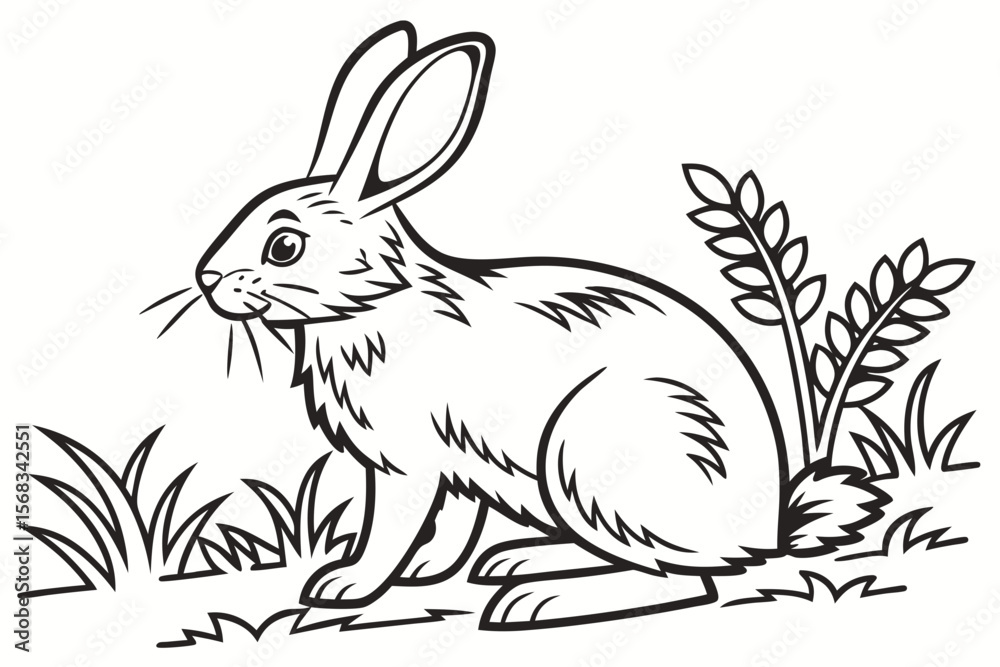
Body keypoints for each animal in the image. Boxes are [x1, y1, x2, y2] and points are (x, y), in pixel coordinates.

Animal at [194, 22, 792, 630]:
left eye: (284, 246)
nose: (207, 278)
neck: (377, 301)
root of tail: (762, 530)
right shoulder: (461, 465)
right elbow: (454, 522)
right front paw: (424, 570)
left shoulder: (410, 460)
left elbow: (390, 526)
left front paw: (346, 584)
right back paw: (516, 561)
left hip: (591, 457)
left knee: (682, 579)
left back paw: (536, 601)